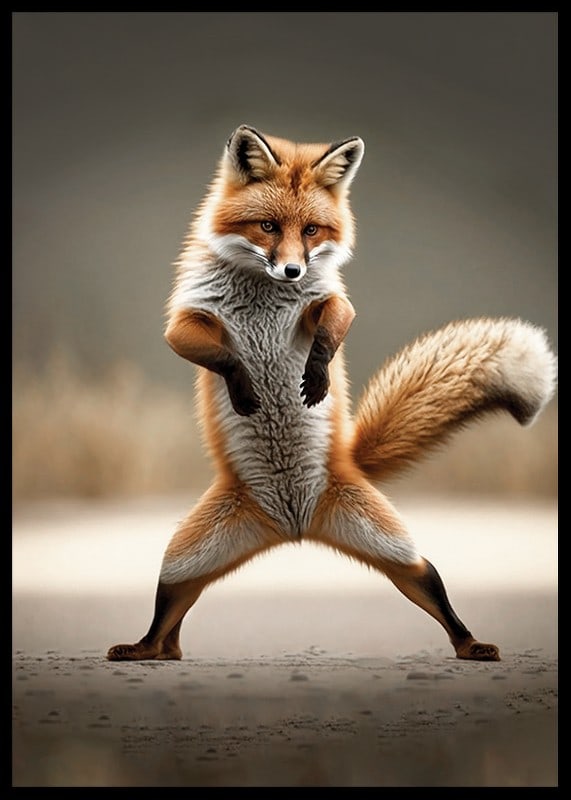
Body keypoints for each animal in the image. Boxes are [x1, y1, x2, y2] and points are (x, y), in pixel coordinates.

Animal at [107, 124, 557, 663]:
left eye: (311, 231)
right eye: (268, 226)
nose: (292, 272)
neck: (263, 296)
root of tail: (294, 527)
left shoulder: (328, 300)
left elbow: (332, 326)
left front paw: (316, 375)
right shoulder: (188, 318)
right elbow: (220, 355)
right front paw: (245, 386)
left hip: (392, 549)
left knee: (429, 579)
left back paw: (470, 645)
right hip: (184, 561)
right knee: (168, 613)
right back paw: (148, 649)